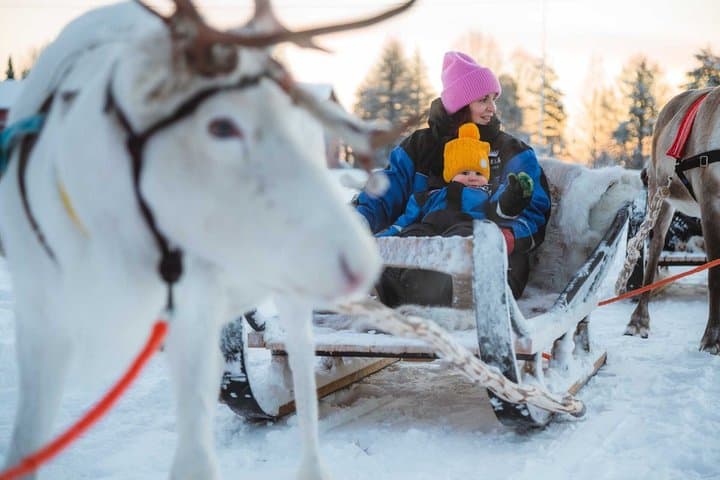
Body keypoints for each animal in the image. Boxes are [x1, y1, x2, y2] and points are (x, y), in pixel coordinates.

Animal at [0, 1, 416, 478]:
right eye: (221, 126)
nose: (363, 263)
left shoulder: (194, 323)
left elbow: (196, 457)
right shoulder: (42, 325)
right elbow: (26, 448)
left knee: (304, 374)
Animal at [620, 86, 720, 354]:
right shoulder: (711, 203)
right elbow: (714, 275)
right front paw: (711, 340)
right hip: (660, 194)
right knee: (653, 253)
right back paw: (638, 322)